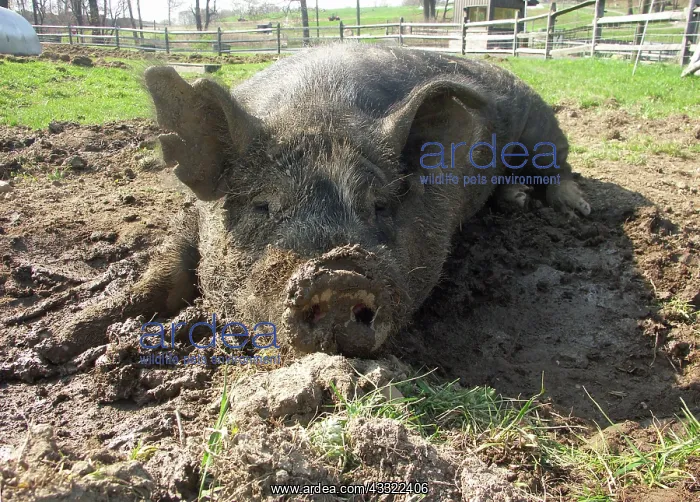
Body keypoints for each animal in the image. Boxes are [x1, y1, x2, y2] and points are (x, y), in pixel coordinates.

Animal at [37, 43, 590, 364]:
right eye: (262, 206)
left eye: (380, 205)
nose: (337, 275)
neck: (320, 111)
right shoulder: (192, 213)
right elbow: (164, 270)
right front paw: (54, 343)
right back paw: (519, 200)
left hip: (543, 126)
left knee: (559, 165)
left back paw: (573, 210)